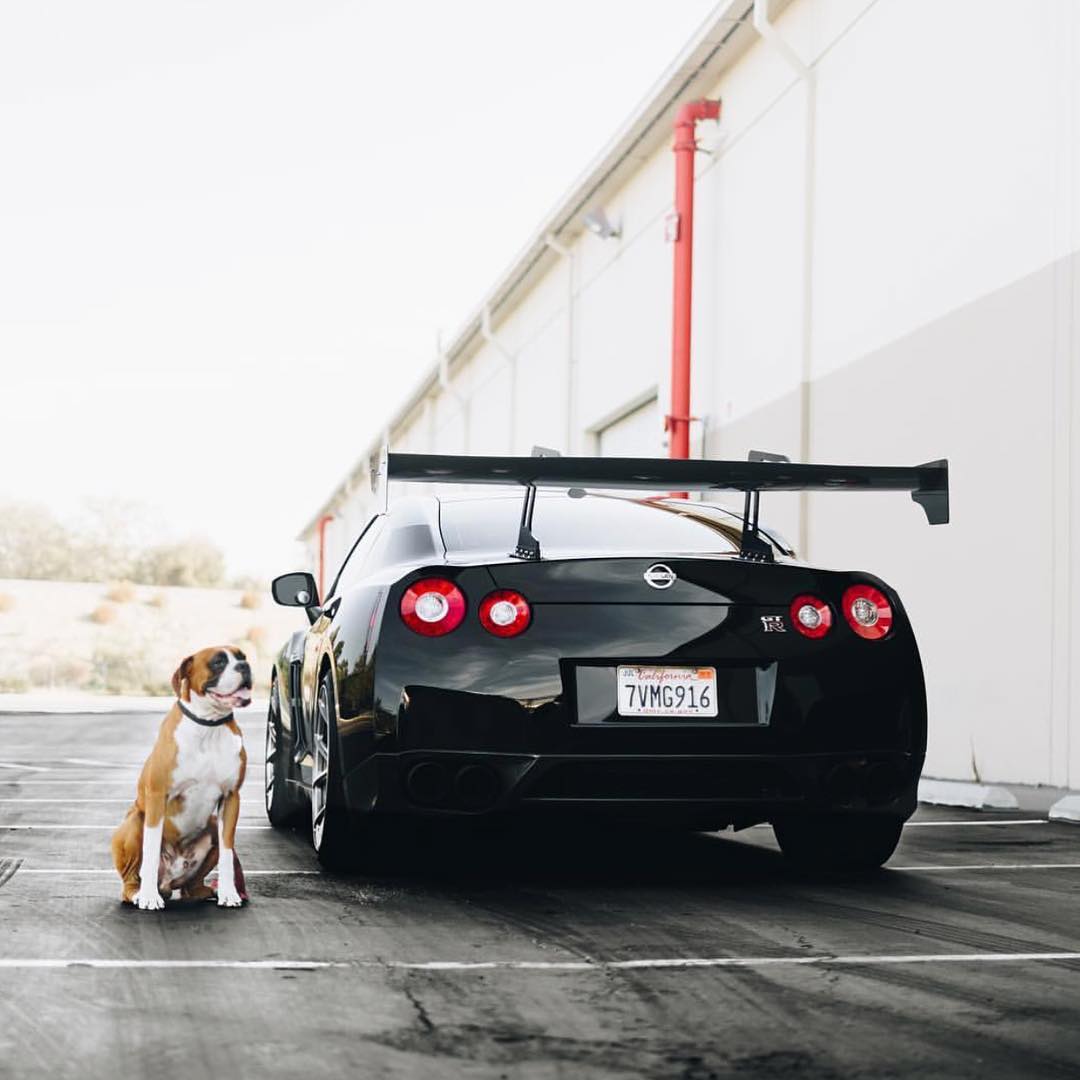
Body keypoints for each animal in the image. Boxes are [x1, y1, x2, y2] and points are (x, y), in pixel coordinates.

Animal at [111, 646, 252, 910]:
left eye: (242, 657)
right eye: (218, 662)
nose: (244, 667)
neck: (209, 726)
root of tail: (168, 883)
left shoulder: (231, 798)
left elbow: (228, 852)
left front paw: (229, 893)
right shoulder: (157, 797)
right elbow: (151, 849)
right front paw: (149, 897)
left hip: (211, 826)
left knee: (190, 887)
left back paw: (207, 891)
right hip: (135, 821)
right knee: (131, 880)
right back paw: (139, 893)